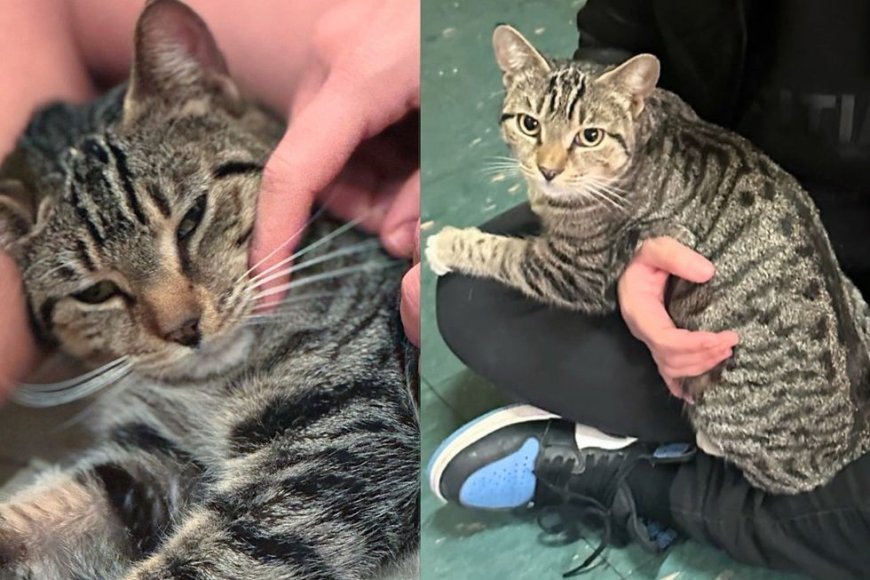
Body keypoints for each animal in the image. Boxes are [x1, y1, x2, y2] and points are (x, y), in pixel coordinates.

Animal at [0, 2, 418, 576]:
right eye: (95, 292)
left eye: (192, 218)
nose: (185, 329)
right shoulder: (151, 463)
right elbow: (46, 515)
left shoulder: (340, 442)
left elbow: (204, 558)